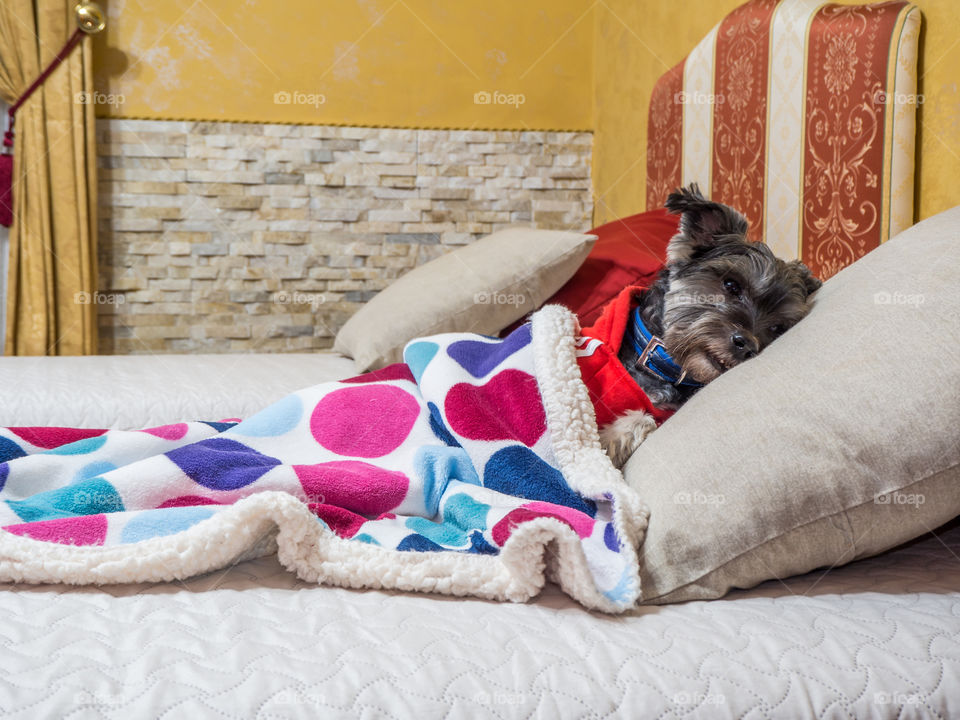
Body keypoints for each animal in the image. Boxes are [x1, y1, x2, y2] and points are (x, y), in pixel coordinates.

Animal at [600, 183, 816, 466]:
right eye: (731, 285)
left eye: (777, 328)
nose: (747, 345)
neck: (662, 367)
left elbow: (643, 420)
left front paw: (610, 438)